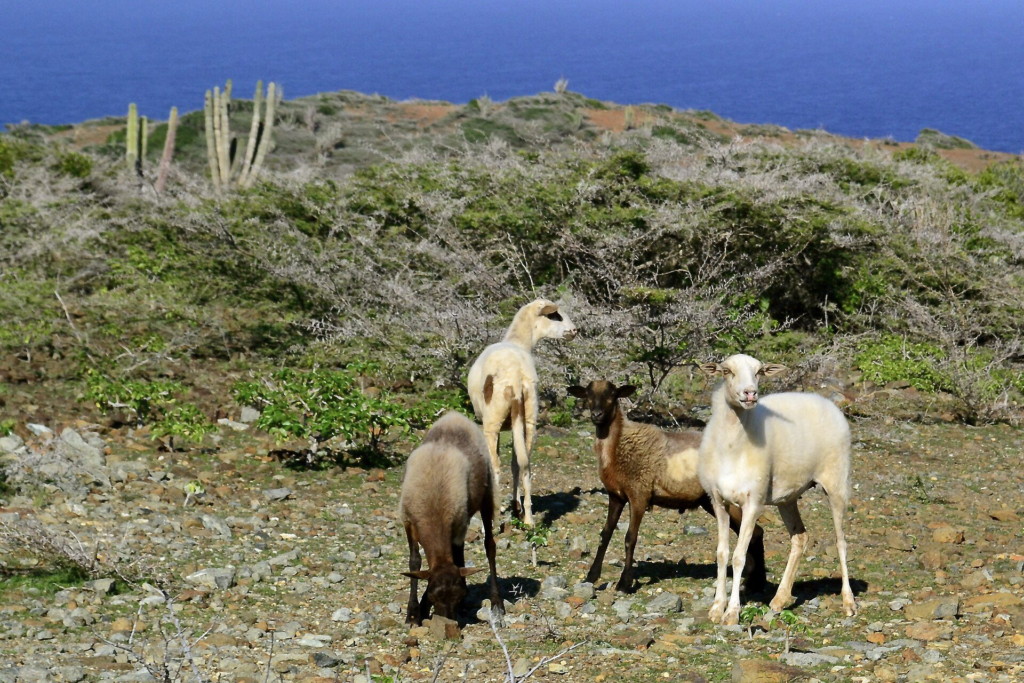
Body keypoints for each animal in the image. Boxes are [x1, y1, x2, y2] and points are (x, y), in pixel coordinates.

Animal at [398, 411, 503, 624]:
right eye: (433, 595)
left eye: (460, 595)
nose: (448, 622)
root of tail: (455, 416)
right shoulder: (409, 522)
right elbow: (415, 562)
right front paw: (414, 611)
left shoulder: (457, 525)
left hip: (485, 497)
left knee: (489, 545)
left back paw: (497, 601)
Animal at [467, 299, 577, 525]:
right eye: (555, 315)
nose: (574, 331)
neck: (518, 342)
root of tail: (516, 375)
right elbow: (516, 463)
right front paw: (515, 506)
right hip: (529, 419)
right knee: (525, 464)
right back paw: (527, 518)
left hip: (492, 422)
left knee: (496, 466)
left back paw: (494, 520)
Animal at [568, 380, 766, 593]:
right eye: (588, 394)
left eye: (612, 394)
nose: (596, 414)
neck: (618, 445)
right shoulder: (616, 495)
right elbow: (605, 534)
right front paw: (591, 576)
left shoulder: (639, 493)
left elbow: (630, 538)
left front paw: (624, 583)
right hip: (711, 501)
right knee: (753, 533)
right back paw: (754, 582)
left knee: (755, 533)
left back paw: (755, 583)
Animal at [697, 354, 856, 625]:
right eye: (727, 371)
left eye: (759, 372)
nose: (750, 393)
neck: (732, 446)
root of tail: (826, 401)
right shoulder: (718, 501)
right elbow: (722, 553)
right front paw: (717, 608)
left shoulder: (753, 502)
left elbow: (739, 556)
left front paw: (732, 612)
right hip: (788, 497)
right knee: (800, 537)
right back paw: (780, 599)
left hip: (836, 482)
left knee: (841, 542)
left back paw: (848, 602)